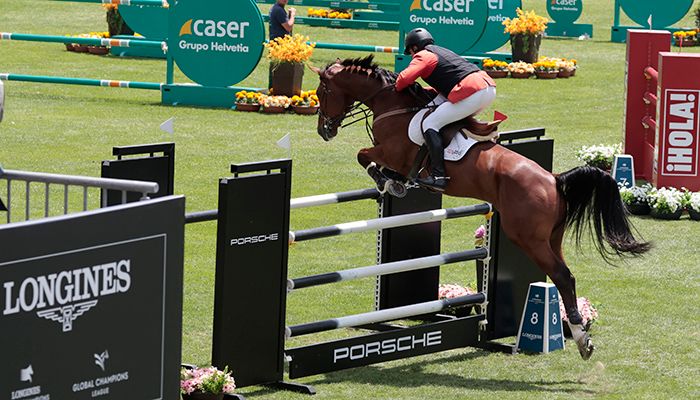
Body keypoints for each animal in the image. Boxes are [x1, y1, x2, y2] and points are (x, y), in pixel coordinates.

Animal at [312, 55, 652, 360]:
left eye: (322, 91)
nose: (323, 131)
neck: (393, 106)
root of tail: (554, 180)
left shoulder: (392, 153)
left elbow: (363, 155)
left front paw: (387, 182)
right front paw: (393, 182)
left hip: (527, 238)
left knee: (562, 276)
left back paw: (581, 340)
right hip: (551, 238)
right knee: (566, 277)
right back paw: (581, 338)